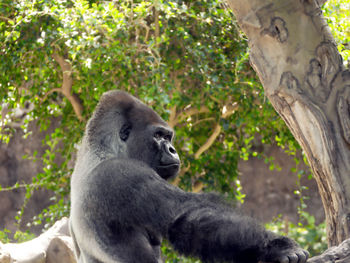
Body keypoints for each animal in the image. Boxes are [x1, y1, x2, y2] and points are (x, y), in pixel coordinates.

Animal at [70, 91, 308, 263]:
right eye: (158, 136)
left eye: (168, 137)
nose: (173, 149)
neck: (102, 149)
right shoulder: (125, 173)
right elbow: (185, 219)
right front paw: (277, 247)